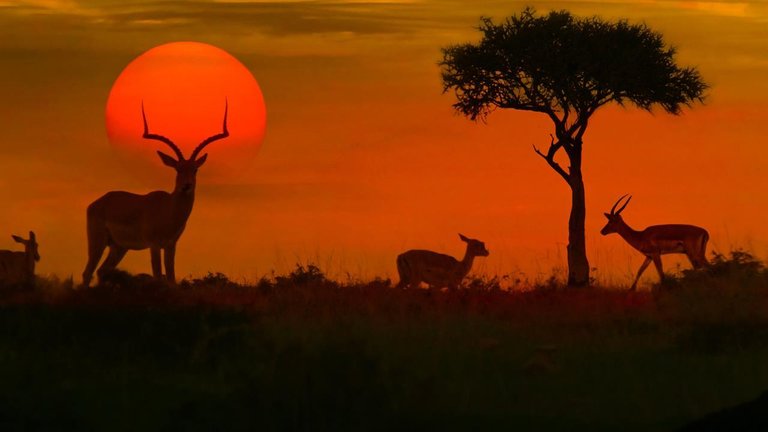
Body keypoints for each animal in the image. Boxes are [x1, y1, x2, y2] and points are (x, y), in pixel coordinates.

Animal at [83, 101, 231, 286]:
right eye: (178, 168)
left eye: (195, 169)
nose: (186, 186)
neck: (168, 210)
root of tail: (98, 202)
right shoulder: (153, 245)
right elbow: (158, 275)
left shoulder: (170, 245)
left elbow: (171, 277)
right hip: (98, 242)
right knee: (88, 272)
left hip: (119, 247)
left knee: (102, 271)